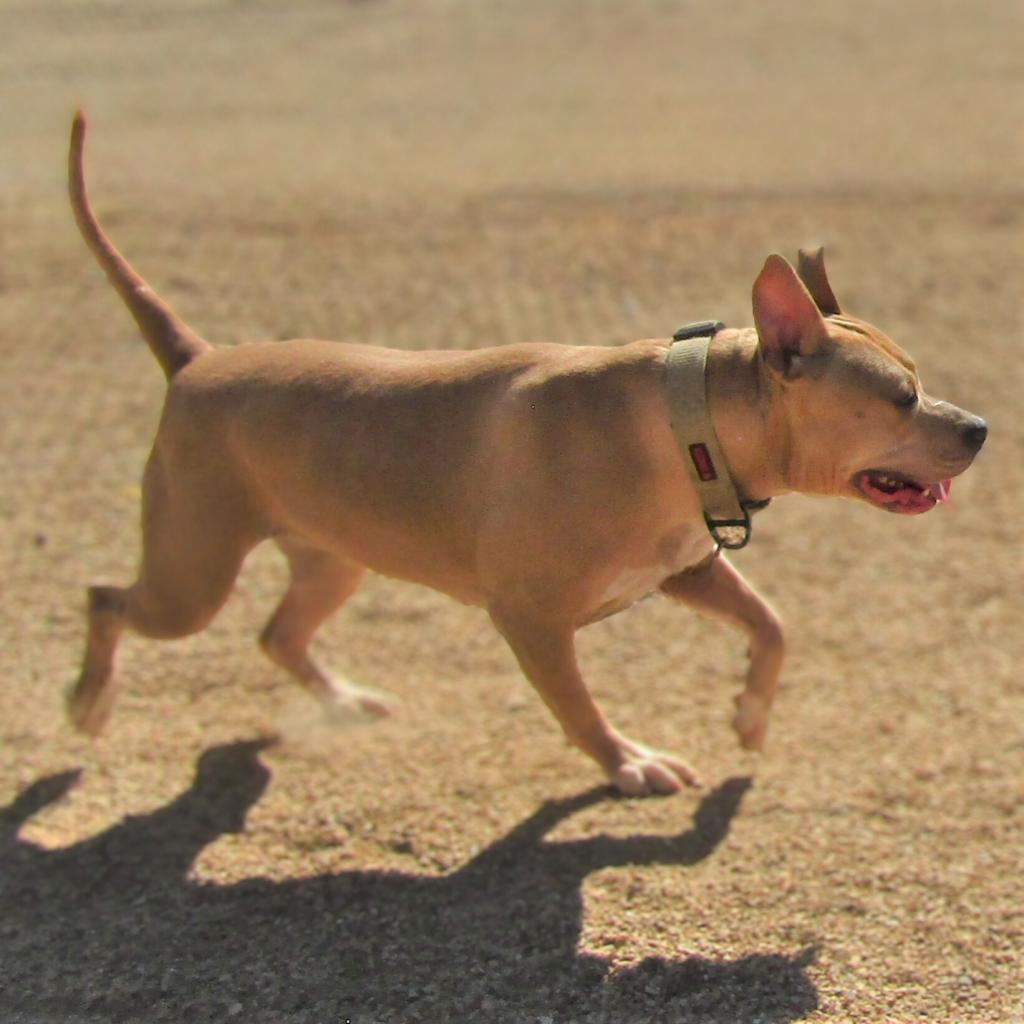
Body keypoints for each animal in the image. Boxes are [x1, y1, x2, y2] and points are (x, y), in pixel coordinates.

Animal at [64, 116, 983, 794]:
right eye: (900, 397)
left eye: (919, 379)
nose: (978, 428)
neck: (679, 420)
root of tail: (196, 359)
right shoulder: (532, 618)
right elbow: (580, 708)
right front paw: (629, 763)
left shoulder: (687, 569)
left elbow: (773, 623)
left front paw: (750, 717)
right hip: (192, 574)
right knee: (108, 598)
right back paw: (89, 705)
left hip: (330, 560)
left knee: (277, 635)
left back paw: (344, 702)